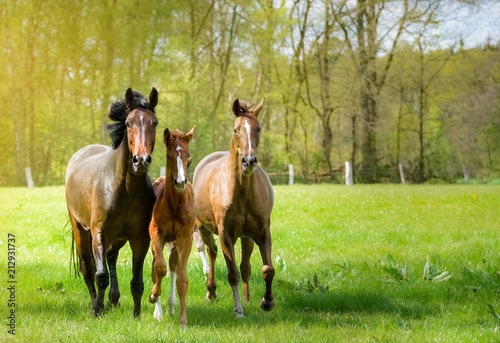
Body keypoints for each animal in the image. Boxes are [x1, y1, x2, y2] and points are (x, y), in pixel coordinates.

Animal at [65, 88, 157, 318]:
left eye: (155, 123)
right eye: (129, 123)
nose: (141, 160)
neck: (124, 188)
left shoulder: (140, 238)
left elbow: (137, 282)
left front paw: (136, 315)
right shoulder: (99, 232)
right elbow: (100, 275)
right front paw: (97, 309)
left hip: (118, 238)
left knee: (111, 256)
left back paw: (113, 299)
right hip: (80, 230)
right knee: (88, 267)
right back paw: (97, 303)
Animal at [192, 98, 278, 318]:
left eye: (258, 128)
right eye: (236, 129)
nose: (249, 161)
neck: (242, 192)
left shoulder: (262, 232)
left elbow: (267, 269)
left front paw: (267, 302)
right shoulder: (226, 235)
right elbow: (232, 274)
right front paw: (238, 310)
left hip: (247, 237)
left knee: (245, 266)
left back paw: (246, 299)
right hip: (204, 229)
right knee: (212, 252)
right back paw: (211, 292)